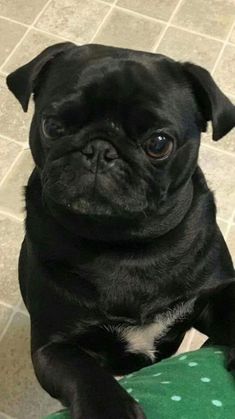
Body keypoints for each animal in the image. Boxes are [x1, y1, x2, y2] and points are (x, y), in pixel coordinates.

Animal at [6, 43, 235, 419]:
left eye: (159, 143)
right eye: (52, 126)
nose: (100, 149)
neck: (125, 246)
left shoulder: (212, 297)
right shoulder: (53, 347)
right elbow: (83, 372)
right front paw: (109, 409)